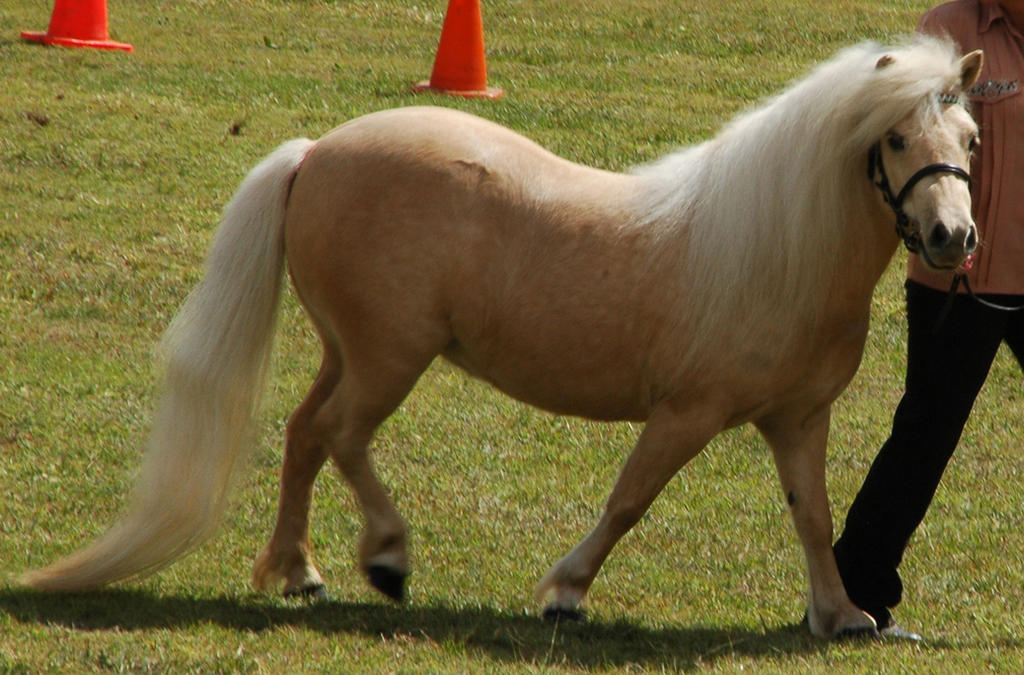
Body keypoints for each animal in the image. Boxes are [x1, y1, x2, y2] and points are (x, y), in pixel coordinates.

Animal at [25, 36, 983, 639]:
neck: (777, 246)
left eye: (971, 137)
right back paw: (386, 558)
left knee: (305, 434)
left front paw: (842, 616)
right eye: (896, 137)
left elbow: (813, 516)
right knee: (340, 435)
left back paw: (300, 571)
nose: (952, 238)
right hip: (390, 358)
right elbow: (629, 500)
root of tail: (316, 151)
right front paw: (564, 591)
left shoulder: (796, 421)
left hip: (350, 352)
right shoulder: (687, 413)